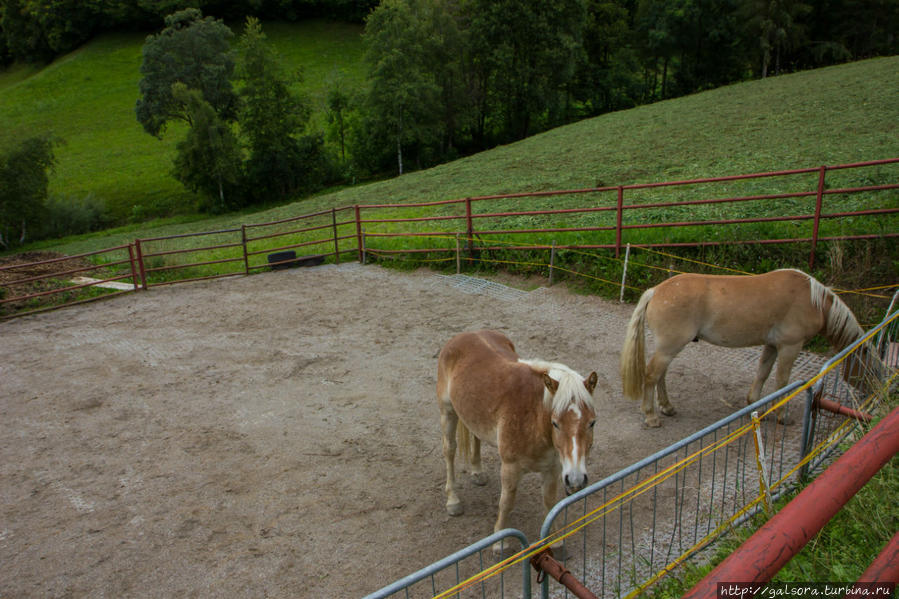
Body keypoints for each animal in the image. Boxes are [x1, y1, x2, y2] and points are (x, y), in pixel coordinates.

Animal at [436, 328, 596, 552]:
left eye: (592, 423)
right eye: (555, 423)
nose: (576, 479)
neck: (534, 417)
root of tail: (467, 334)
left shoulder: (553, 468)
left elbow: (550, 502)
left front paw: (556, 541)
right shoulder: (510, 468)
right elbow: (507, 503)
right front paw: (500, 544)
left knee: (476, 437)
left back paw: (477, 472)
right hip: (448, 412)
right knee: (449, 451)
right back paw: (453, 500)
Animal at [624, 270, 868, 428]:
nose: (869, 393)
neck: (812, 300)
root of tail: (655, 291)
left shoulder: (771, 345)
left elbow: (763, 373)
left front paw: (754, 403)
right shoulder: (790, 346)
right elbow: (782, 382)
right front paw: (782, 415)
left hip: (669, 347)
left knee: (660, 375)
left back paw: (667, 407)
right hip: (670, 347)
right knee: (651, 375)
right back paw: (651, 417)